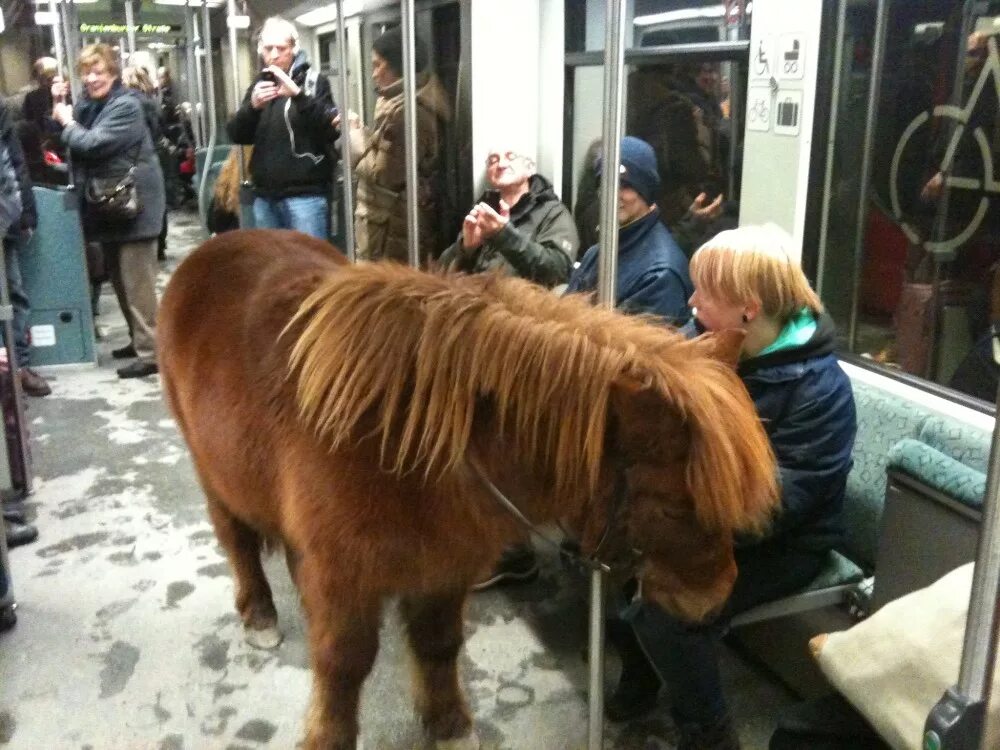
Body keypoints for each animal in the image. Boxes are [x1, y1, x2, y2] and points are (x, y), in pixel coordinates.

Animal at [158, 231, 780, 750]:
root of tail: (213, 249)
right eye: (673, 504)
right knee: (238, 542)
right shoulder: (345, 578)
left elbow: (438, 646)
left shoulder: (443, 567)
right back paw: (259, 615)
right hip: (213, 475)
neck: (405, 441)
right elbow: (343, 665)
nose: (716, 596)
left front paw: (449, 727)